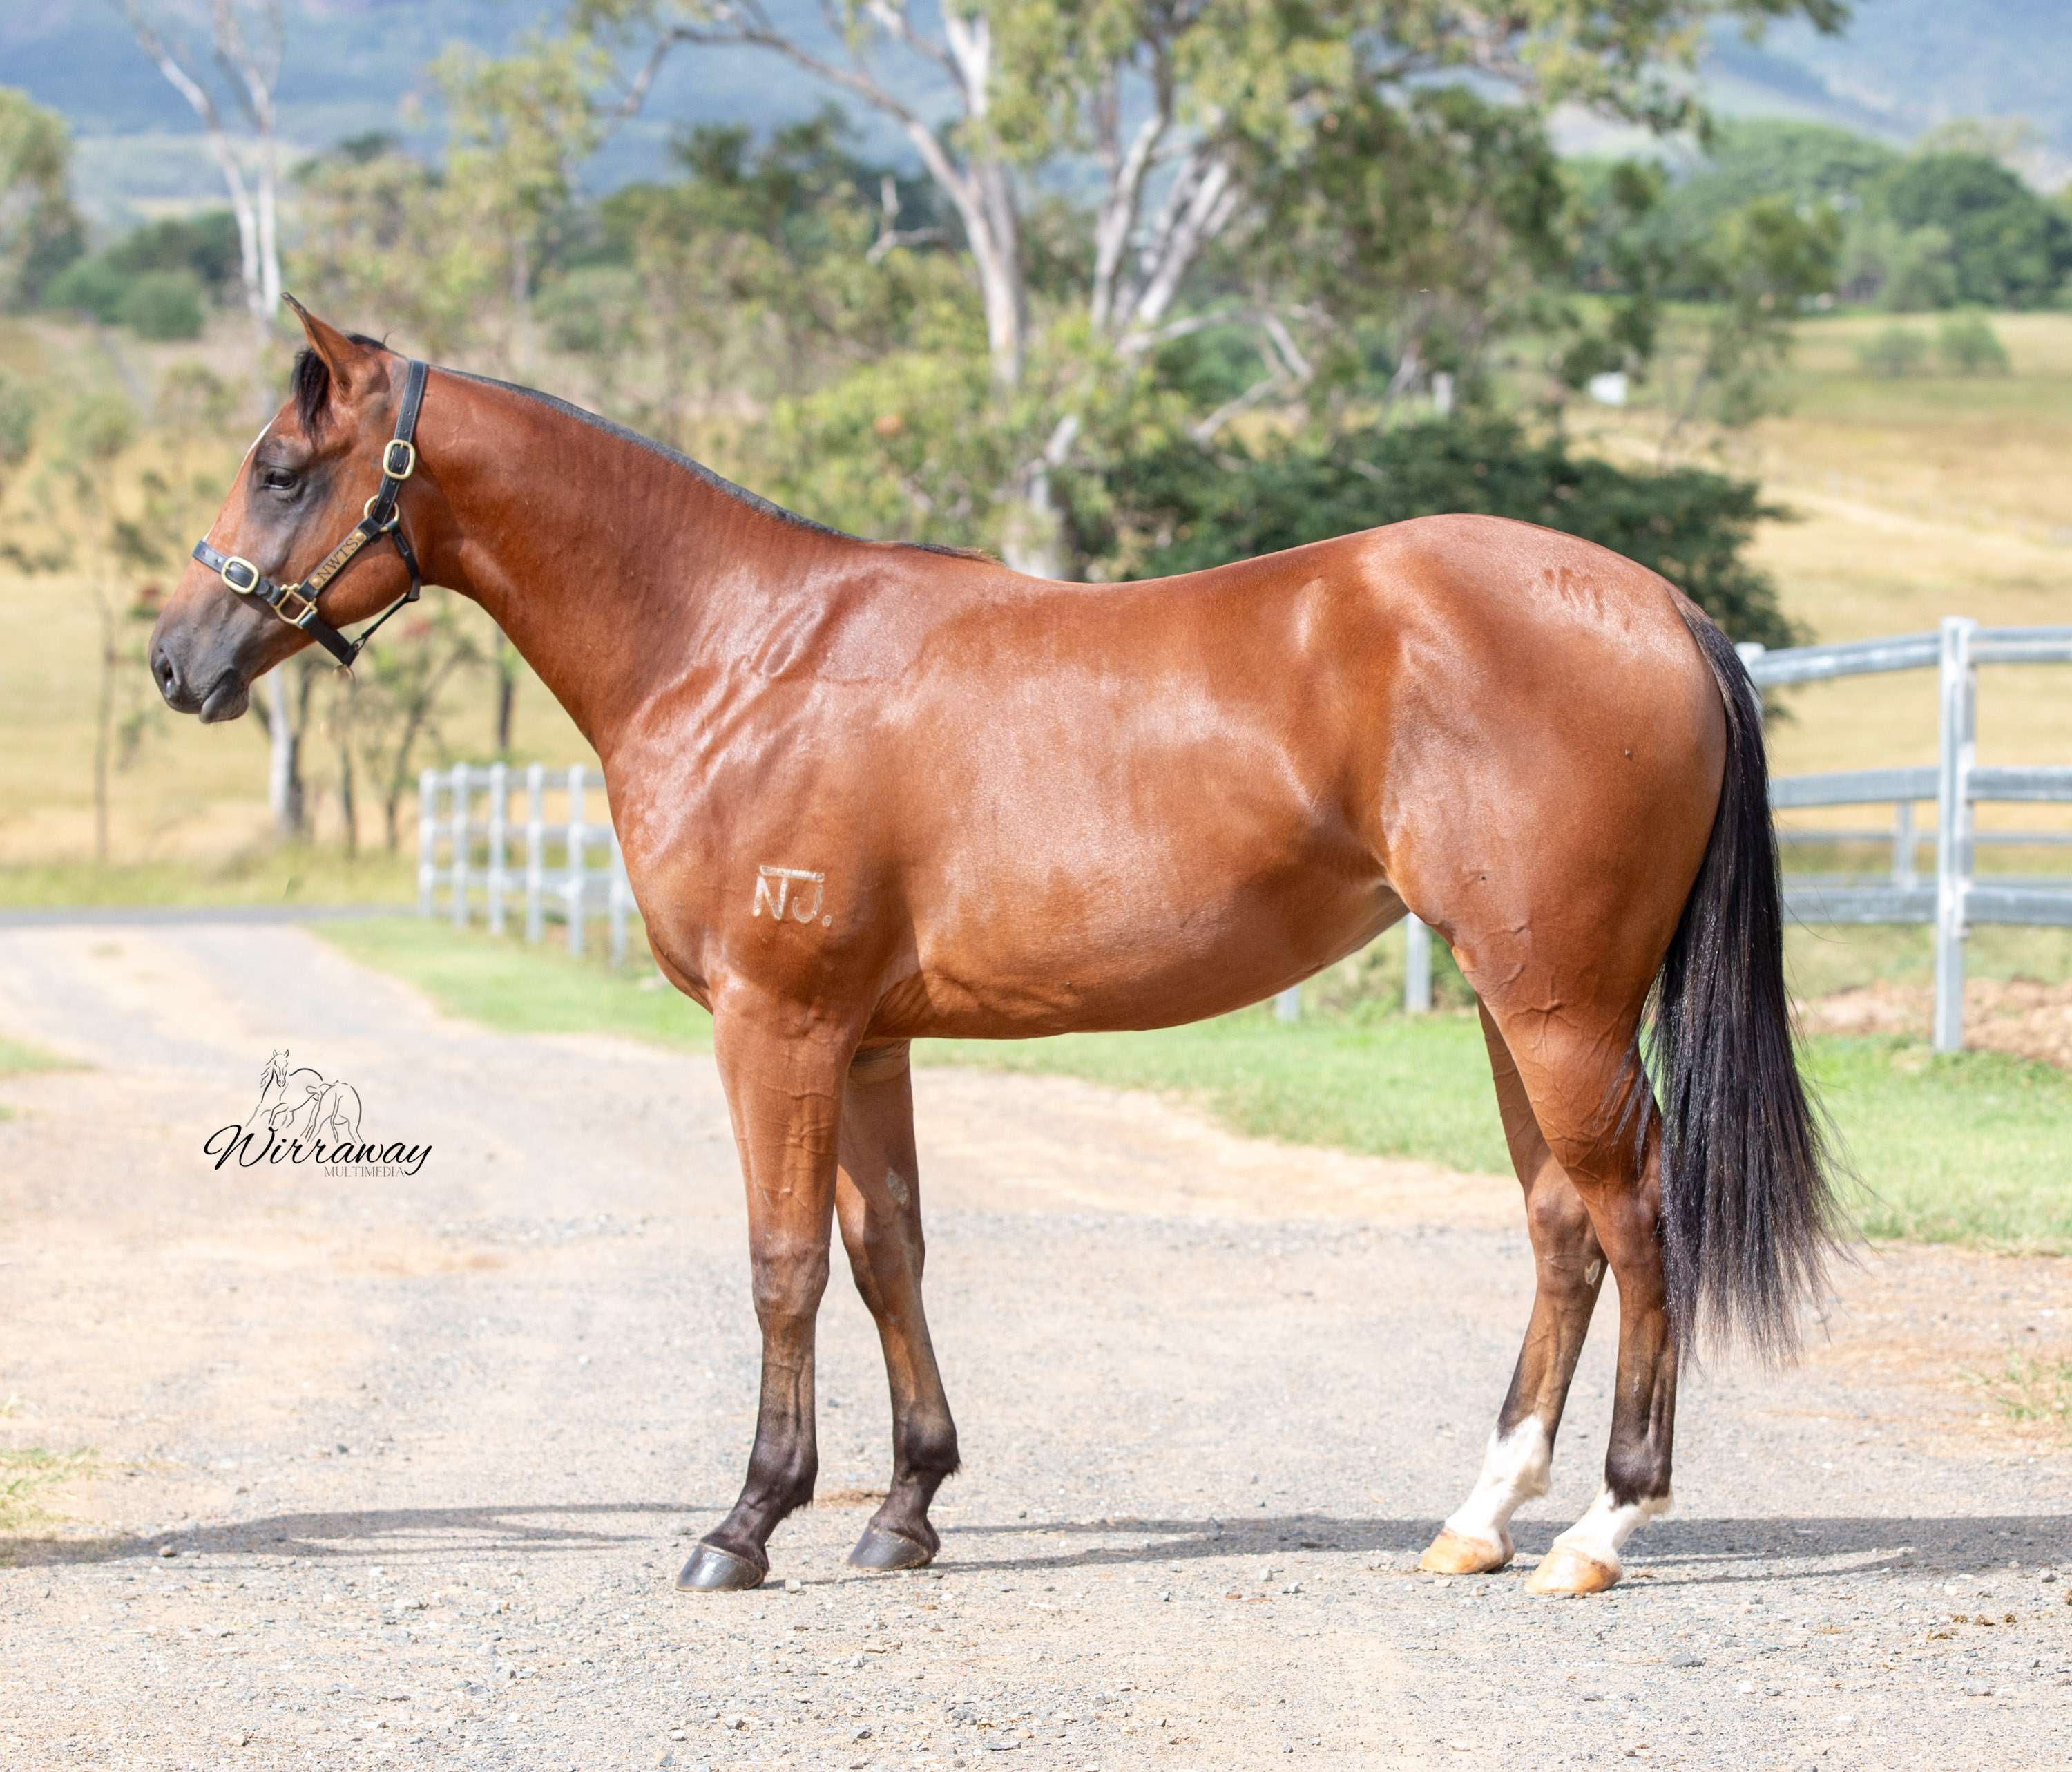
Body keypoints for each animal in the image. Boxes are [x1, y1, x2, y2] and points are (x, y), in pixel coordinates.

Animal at [149, 304, 1836, 1598]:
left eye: (282, 470)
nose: (175, 660)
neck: (739, 652)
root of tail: (1657, 605)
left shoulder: (772, 1025)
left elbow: (781, 1266)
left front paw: (746, 1523)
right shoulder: (863, 1036)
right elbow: (886, 1251)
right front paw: (905, 1510)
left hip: (1559, 1004)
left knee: (1639, 1213)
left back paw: (1605, 1528)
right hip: (1514, 997)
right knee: (1563, 1226)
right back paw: (1481, 1520)